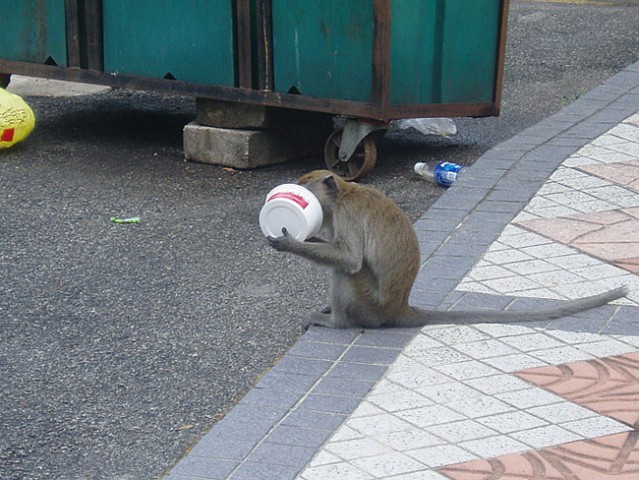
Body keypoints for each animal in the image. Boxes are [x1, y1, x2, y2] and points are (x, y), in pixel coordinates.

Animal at [266, 170, 632, 330]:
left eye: (303, 185)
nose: (291, 188)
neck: (342, 194)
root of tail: (400, 308)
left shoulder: (347, 215)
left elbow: (351, 260)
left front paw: (288, 242)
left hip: (370, 304)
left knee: (345, 274)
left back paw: (336, 322)